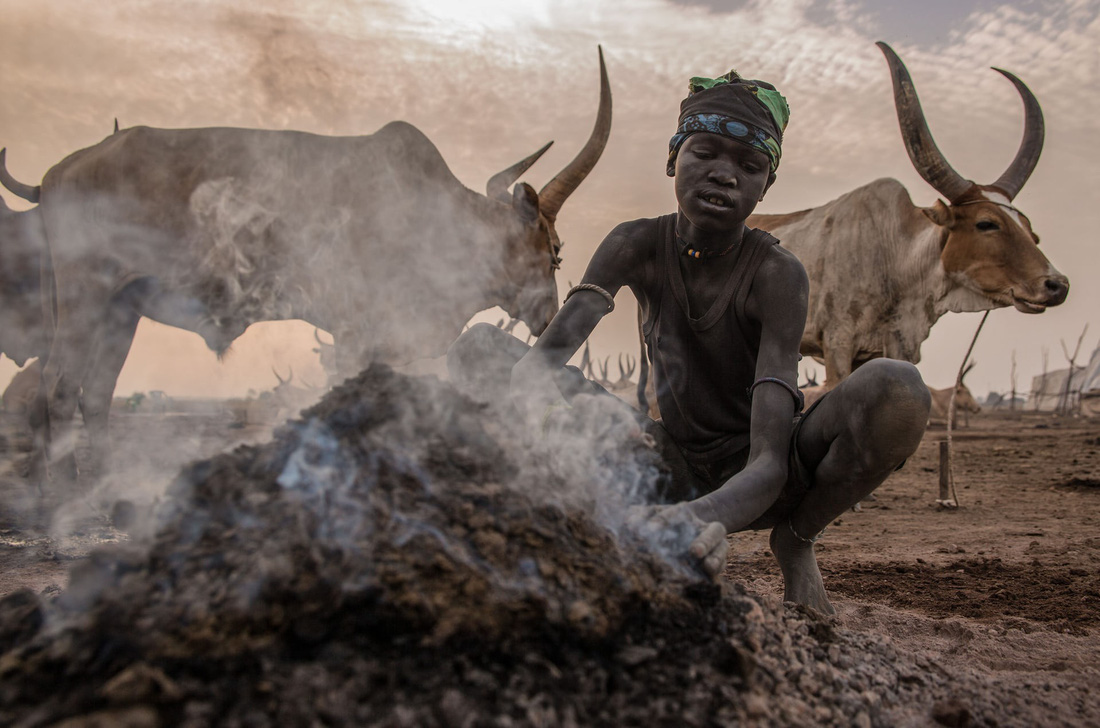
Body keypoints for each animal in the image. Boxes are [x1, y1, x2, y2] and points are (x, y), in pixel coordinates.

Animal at [748, 42, 1064, 391]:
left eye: (1032, 233)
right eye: (986, 223)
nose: (1056, 285)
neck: (896, 256)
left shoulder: (891, 348)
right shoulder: (837, 344)